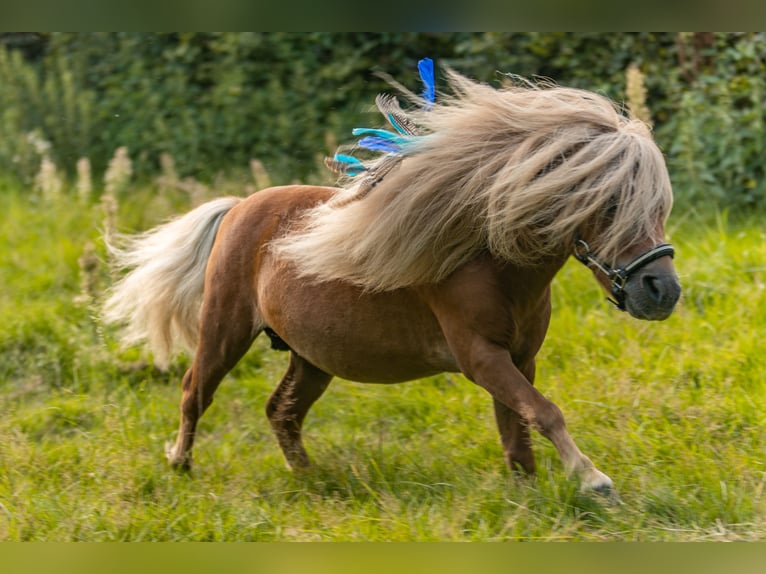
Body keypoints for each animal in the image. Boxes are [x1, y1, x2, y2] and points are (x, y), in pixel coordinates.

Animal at [103, 68, 684, 500]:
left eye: (659, 203)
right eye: (610, 202)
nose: (663, 291)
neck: (492, 263)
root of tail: (239, 206)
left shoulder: (519, 359)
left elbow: (517, 429)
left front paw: (528, 499)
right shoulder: (481, 358)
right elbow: (543, 412)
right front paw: (593, 480)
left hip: (311, 356)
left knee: (281, 412)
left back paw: (314, 481)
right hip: (224, 332)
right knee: (194, 392)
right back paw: (180, 465)